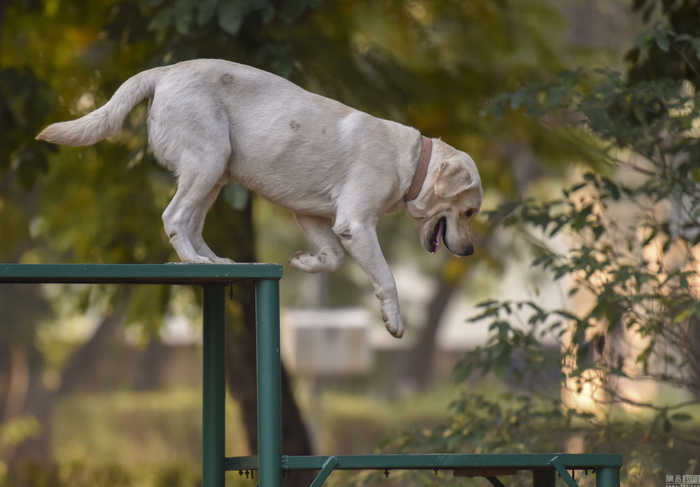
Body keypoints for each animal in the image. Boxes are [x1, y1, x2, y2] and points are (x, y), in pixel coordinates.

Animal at [37, 58, 482, 340]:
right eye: (470, 211)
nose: (470, 251)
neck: (413, 161)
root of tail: (164, 72)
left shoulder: (311, 217)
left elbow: (333, 258)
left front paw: (305, 262)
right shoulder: (355, 225)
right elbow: (386, 278)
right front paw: (393, 322)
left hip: (216, 174)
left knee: (192, 224)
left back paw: (216, 262)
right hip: (208, 160)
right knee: (174, 218)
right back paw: (196, 262)